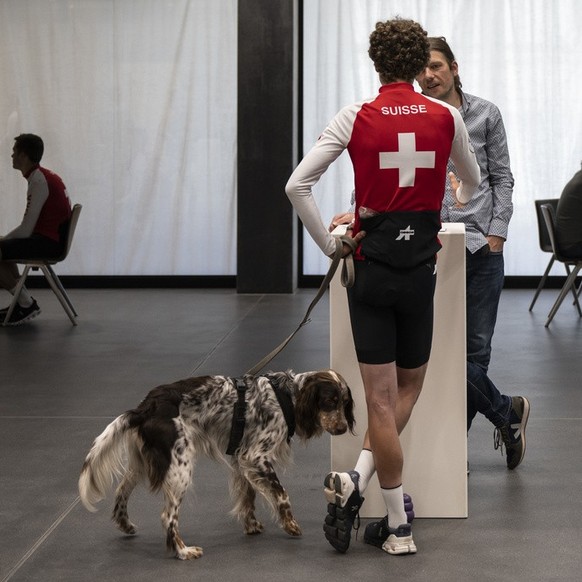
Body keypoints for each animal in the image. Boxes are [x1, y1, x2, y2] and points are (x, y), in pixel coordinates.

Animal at [76, 374, 352, 560]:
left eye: (344, 402)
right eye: (330, 401)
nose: (342, 428)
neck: (286, 397)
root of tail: (146, 406)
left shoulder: (241, 459)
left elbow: (248, 496)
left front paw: (251, 526)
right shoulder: (255, 457)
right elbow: (281, 494)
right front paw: (290, 524)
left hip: (141, 464)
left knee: (121, 492)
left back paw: (125, 524)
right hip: (180, 468)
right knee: (168, 517)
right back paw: (183, 551)